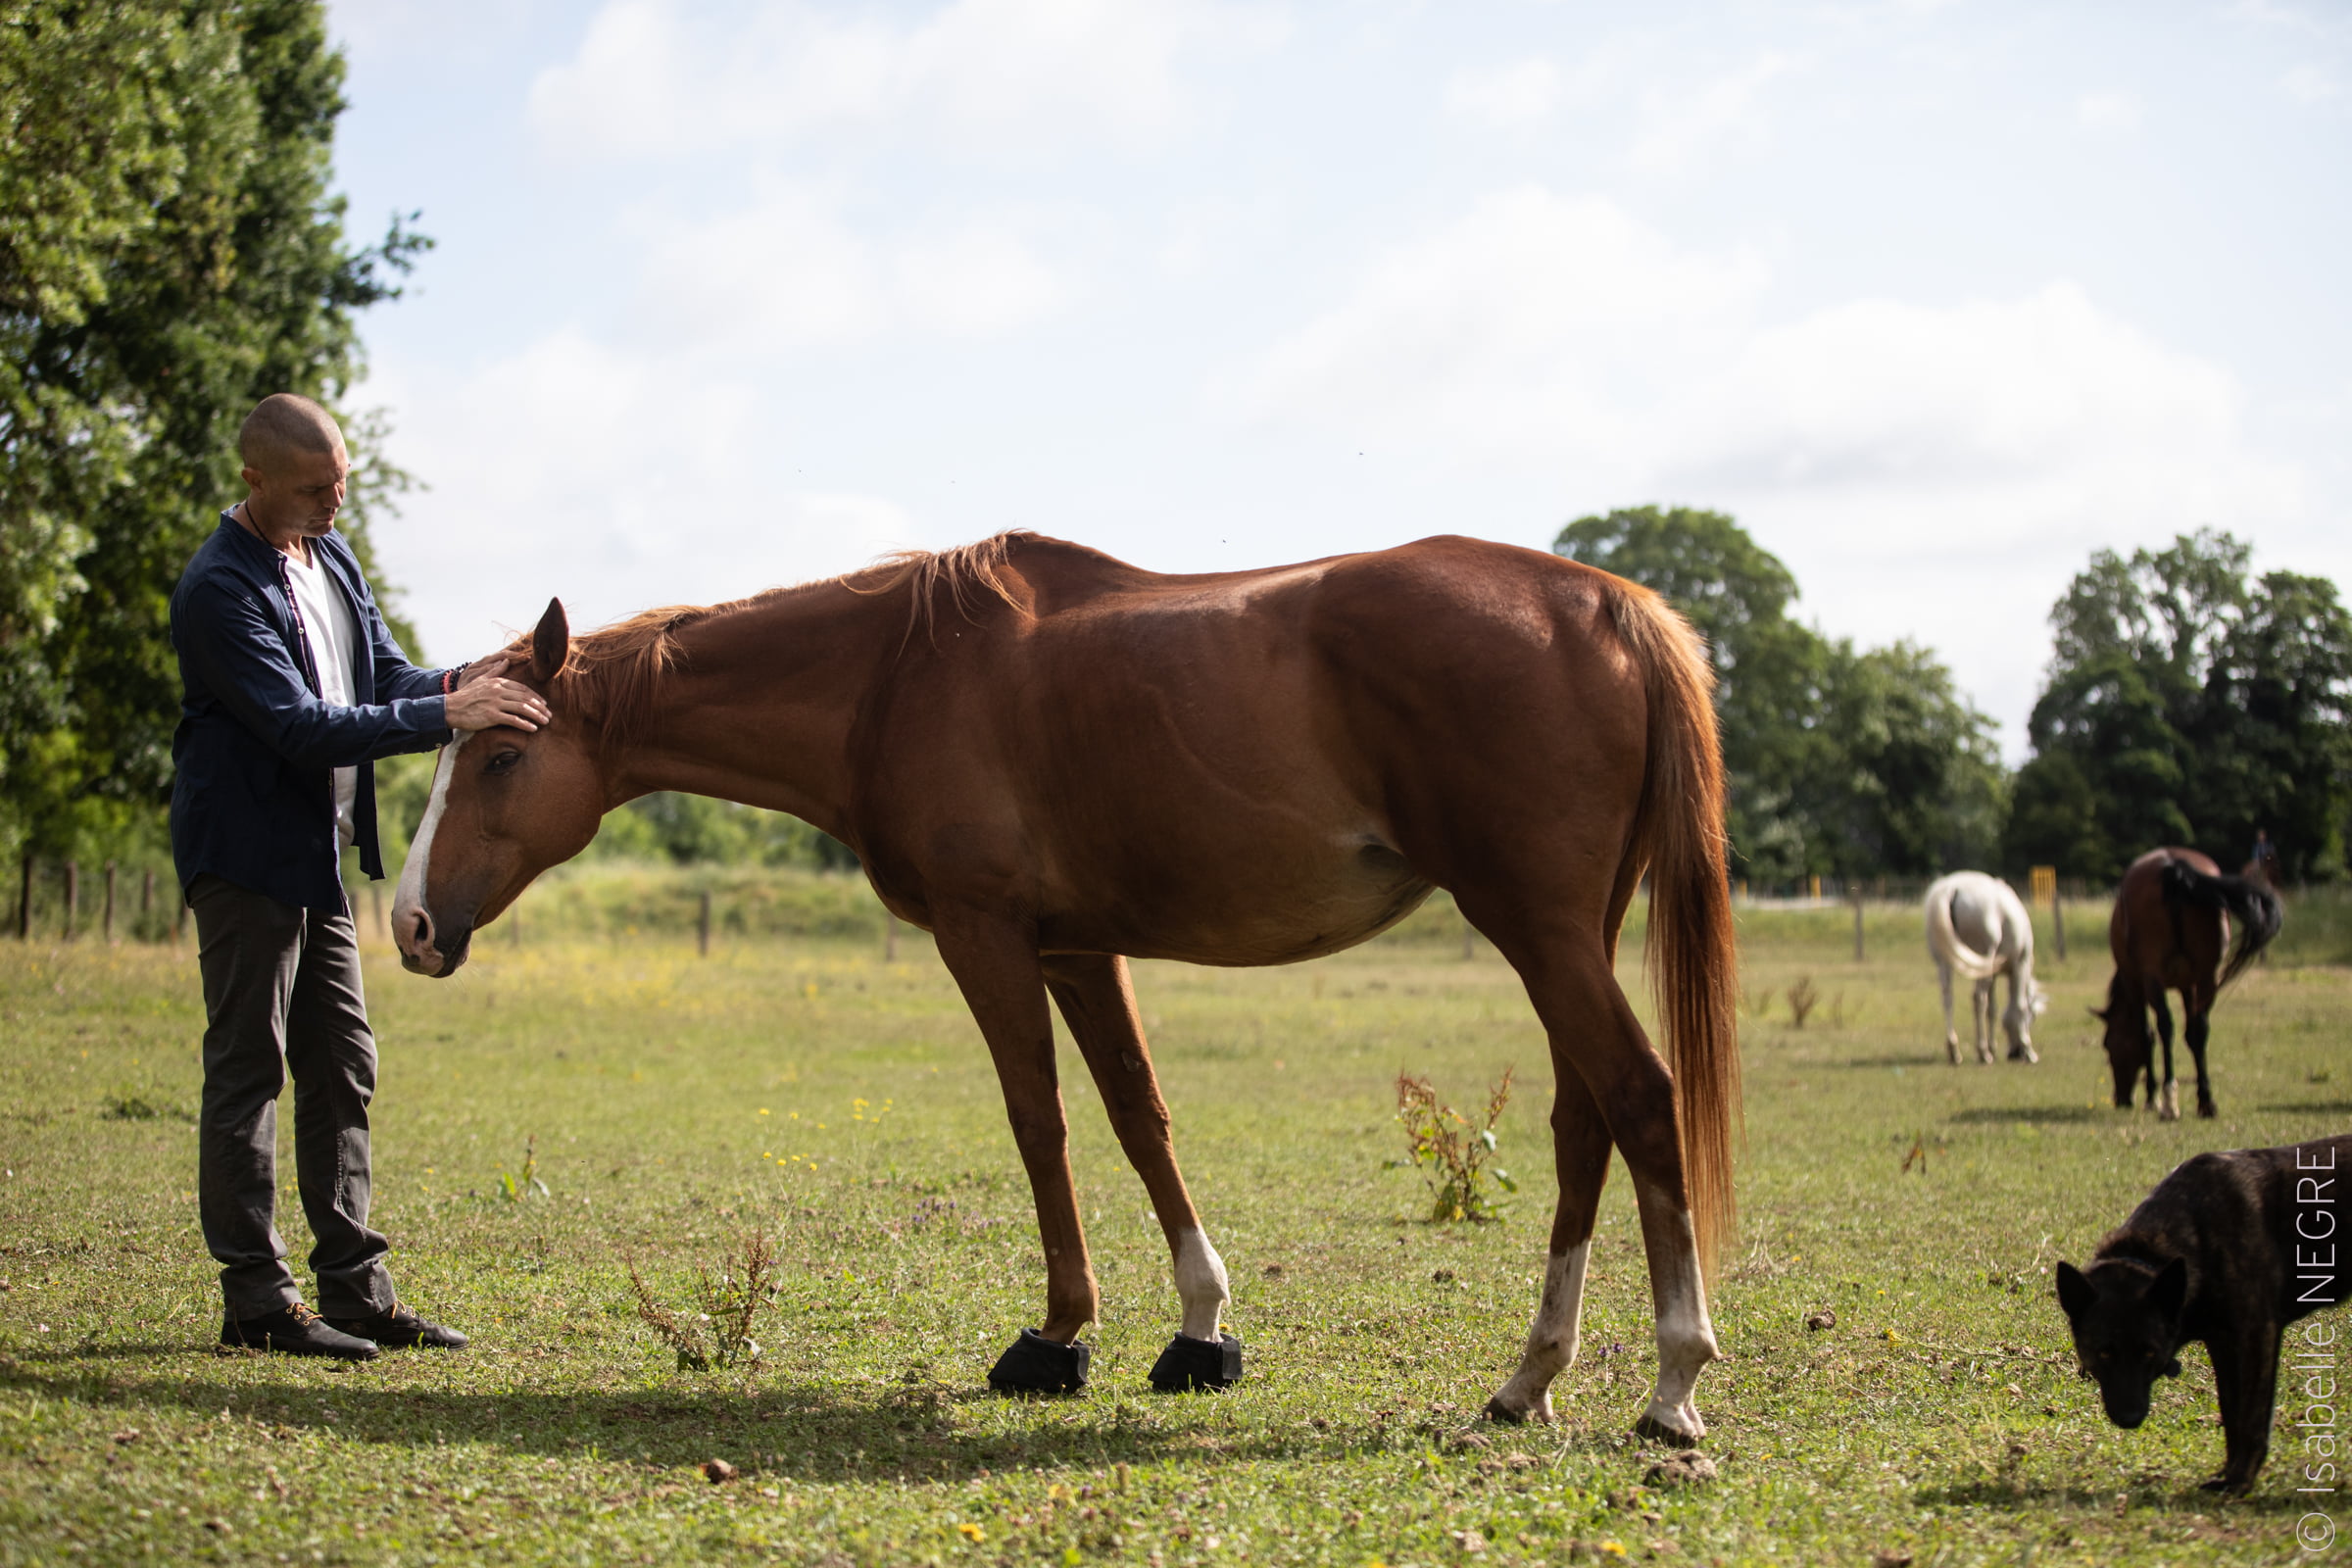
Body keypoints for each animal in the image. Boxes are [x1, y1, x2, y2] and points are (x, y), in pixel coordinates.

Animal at [390, 533, 1749, 1439]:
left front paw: (1055, 1336)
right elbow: (1139, 1116)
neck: (891, 675)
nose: (408, 922)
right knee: (1584, 1123)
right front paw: (1200, 1331)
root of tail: (1604, 603)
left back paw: (1675, 1382)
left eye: (502, 757)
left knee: (1641, 1098)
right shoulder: (1078, 949)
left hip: (1540, 930)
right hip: (1566, 934)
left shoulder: (987, 935)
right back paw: (1530, 1377)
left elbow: (1038, 1118)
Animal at [1929, 869, 2041, 1067]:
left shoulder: (1993, 974)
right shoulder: (2021, 964)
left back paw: (1954, 1050)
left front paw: (1993, 1047)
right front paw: (2028, 1050)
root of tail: (1952, 889)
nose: (2014, 1053)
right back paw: (1982, 1052)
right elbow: (2019, 1006)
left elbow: (1993, 1009)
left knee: (1948, 998)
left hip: (1944, 961)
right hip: (1984, 956)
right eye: (2033, 1017)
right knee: (1978, 998)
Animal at [2060, 1133, 2352, 1494]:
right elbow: (2231, 1412)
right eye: (2103, 1353)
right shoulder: (2222, 1344)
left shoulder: (2257, 1334)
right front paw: (2228, 1471)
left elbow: (2251, 1417)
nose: (2130, 1418)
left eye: (2150, 1353)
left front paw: (2240, 1481)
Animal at [2097, 851, 2277, 1123]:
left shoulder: (2136, 984)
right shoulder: (2188, 986)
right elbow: (2192, 1033)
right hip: (2206, 976)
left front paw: (2152, 1096)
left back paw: (2168, 1103)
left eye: (2109, 1044)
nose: (2121, 1099)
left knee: (2165, 1027)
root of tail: (2173, 866)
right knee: (2199, 1028)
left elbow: (2146, 1035)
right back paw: (2206, 1101)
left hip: (2153, 979)